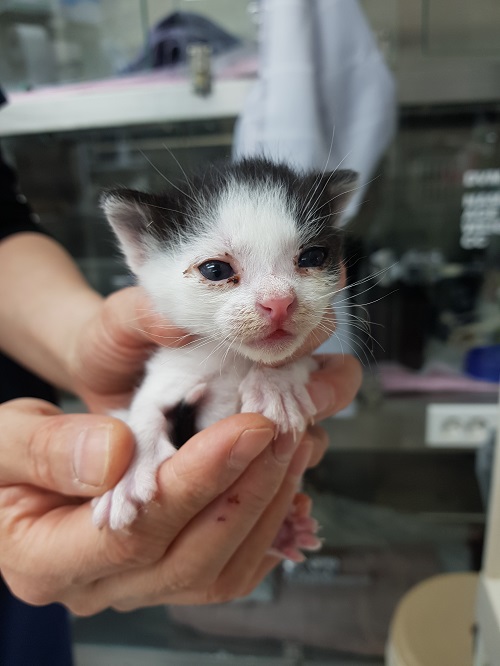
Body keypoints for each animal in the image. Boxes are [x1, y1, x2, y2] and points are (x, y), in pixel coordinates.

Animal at [91, 158, 356, 556]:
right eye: (215, 270)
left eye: (313, 257)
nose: (279, 302)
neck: (234, 359)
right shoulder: (174, 365)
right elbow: (145, 406)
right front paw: (129, 473)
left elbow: (297, 358)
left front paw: (276, 385)